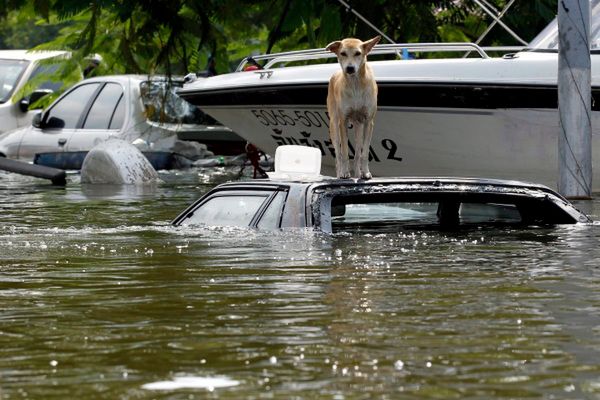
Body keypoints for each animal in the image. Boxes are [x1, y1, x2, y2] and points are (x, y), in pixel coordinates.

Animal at [328, 35, 380, 179]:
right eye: (343, 53)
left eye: (358, 53)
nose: (350, 68)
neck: (355, 85)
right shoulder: (343, 122)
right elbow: (345, 151)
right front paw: (345, 173)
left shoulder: (368, 122)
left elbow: (364, 152)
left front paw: (366, 172)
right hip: (334, 126)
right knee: (338, 155)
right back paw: (340, 173)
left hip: (358, 126)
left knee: (357, 153)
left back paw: (358, 173)